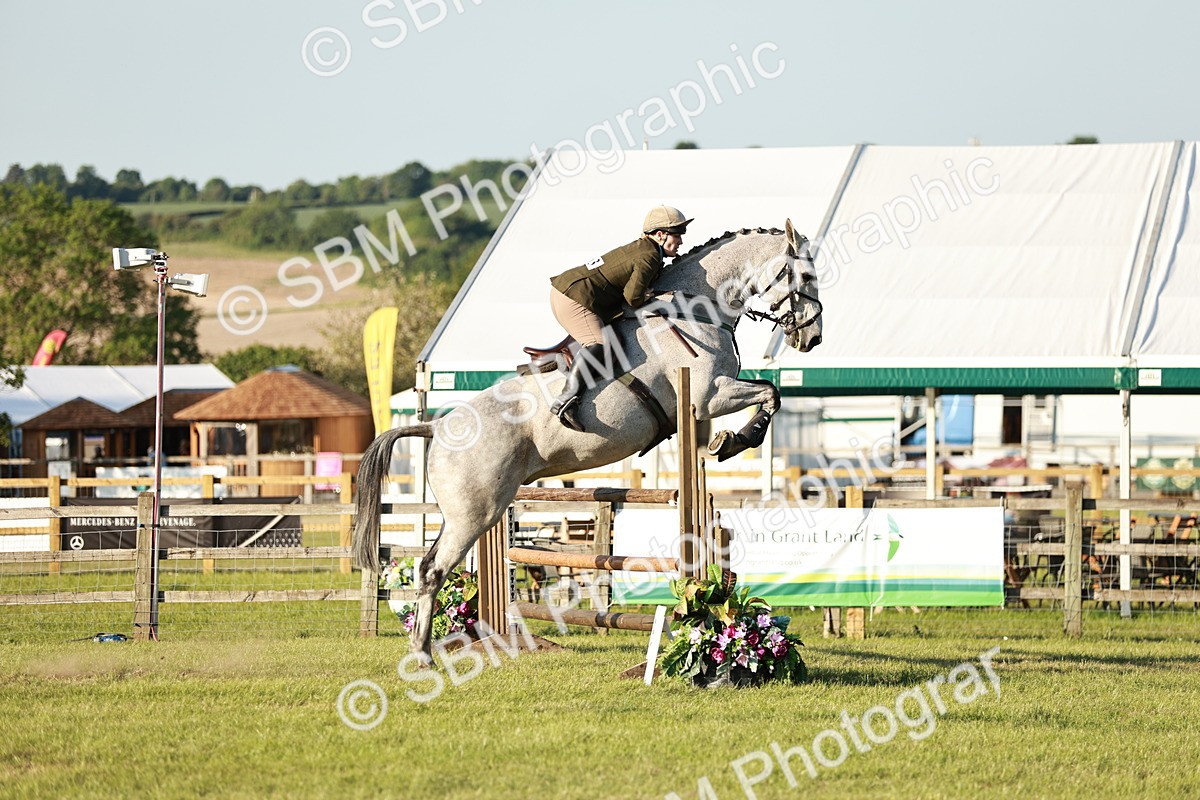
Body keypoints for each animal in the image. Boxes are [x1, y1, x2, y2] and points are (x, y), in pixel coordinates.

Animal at [353, 219, 823, 663]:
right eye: (805, 275)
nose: (811, 338)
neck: (696, 312)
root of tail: (437, 427)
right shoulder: (708, 397)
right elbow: (770, 393)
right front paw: (733, 440)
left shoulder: (713, 395)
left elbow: (770, 391)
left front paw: (733, 439)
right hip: (475, 514)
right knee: (433, 571)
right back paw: (424, 655)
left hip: (464, 514)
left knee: (427, 567)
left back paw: (433, 648)